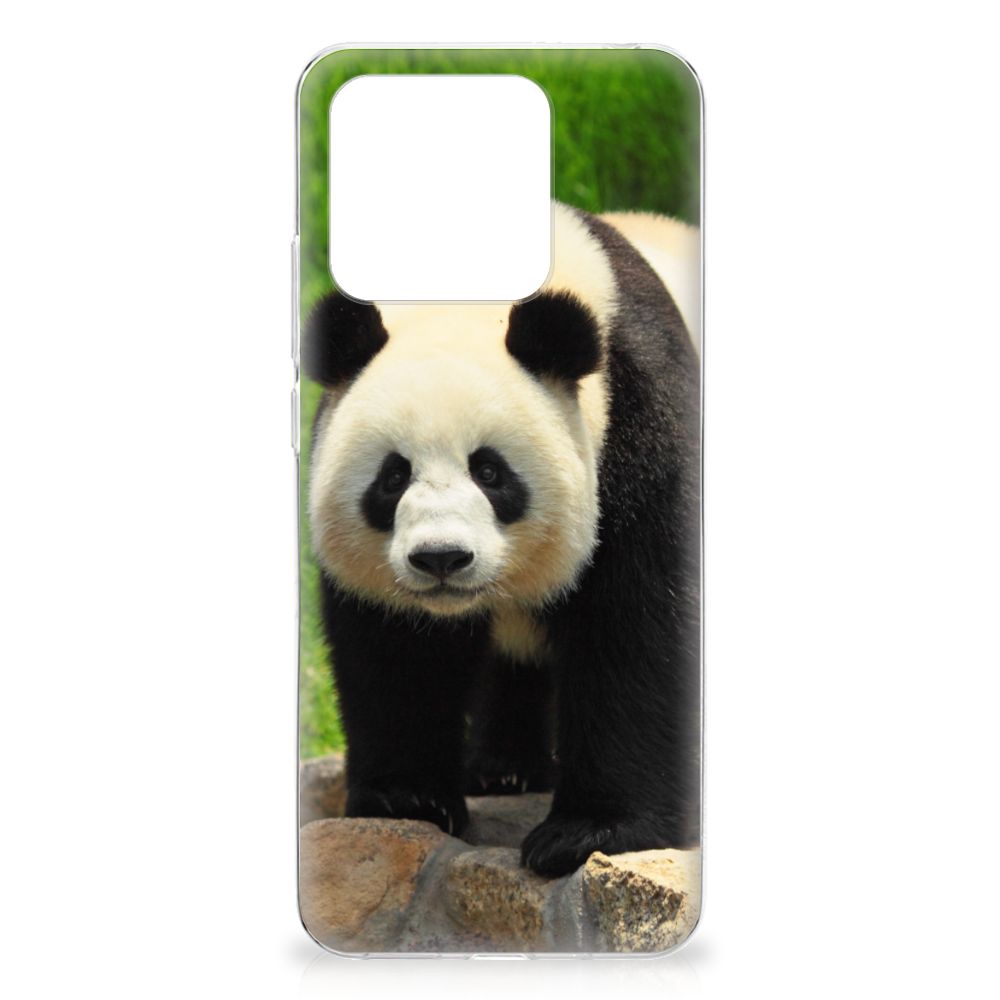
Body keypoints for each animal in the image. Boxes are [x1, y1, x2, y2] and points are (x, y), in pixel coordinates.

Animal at [304, 202, 701, 877]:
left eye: (490, 472)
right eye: (392, 476)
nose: (441, 558)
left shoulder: (640, 423)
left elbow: (637, 624)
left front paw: (588, 832)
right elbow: (394, 650)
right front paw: (407, 798)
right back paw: (504, 770)